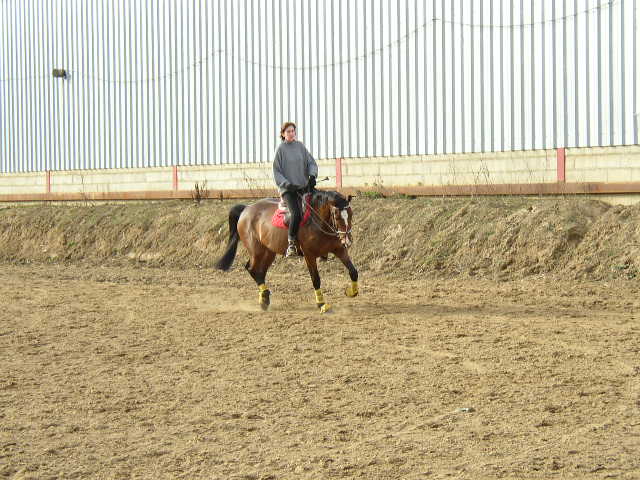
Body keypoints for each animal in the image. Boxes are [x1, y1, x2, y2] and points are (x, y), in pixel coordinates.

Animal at [215, 190, 359, 313]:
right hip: (257, 251)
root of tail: (246, 208)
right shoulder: (309, 255)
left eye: (351, 214)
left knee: (260, 271)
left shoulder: (339, 249)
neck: (318, 221)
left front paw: (351, 292)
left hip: (268, 252)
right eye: (337, 217)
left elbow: (353, 272)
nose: (348, 240)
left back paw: (264, 299)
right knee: (252, 269)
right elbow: (316, 279)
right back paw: (264, 298)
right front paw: (322, 304)